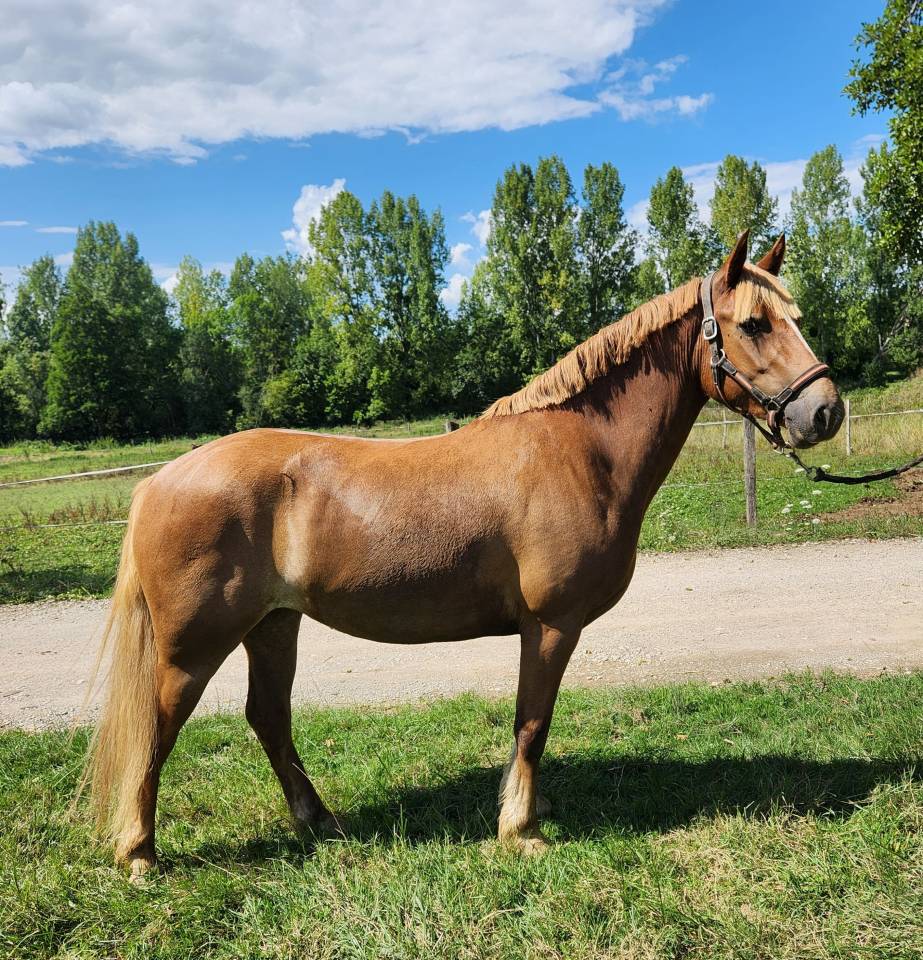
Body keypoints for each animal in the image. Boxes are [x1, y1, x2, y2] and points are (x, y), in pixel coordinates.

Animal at [83, 230, 843, 878]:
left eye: (794, 316)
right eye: (754, 324)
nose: (825, 412)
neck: (579, 449)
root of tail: (158, 482)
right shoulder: (551, 625)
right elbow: (532, 722)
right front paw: (521, 828)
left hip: (273, 626)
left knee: (267, 718)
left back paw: (319, 821)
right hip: (194, 647)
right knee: (156, 728)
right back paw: (141, 853)